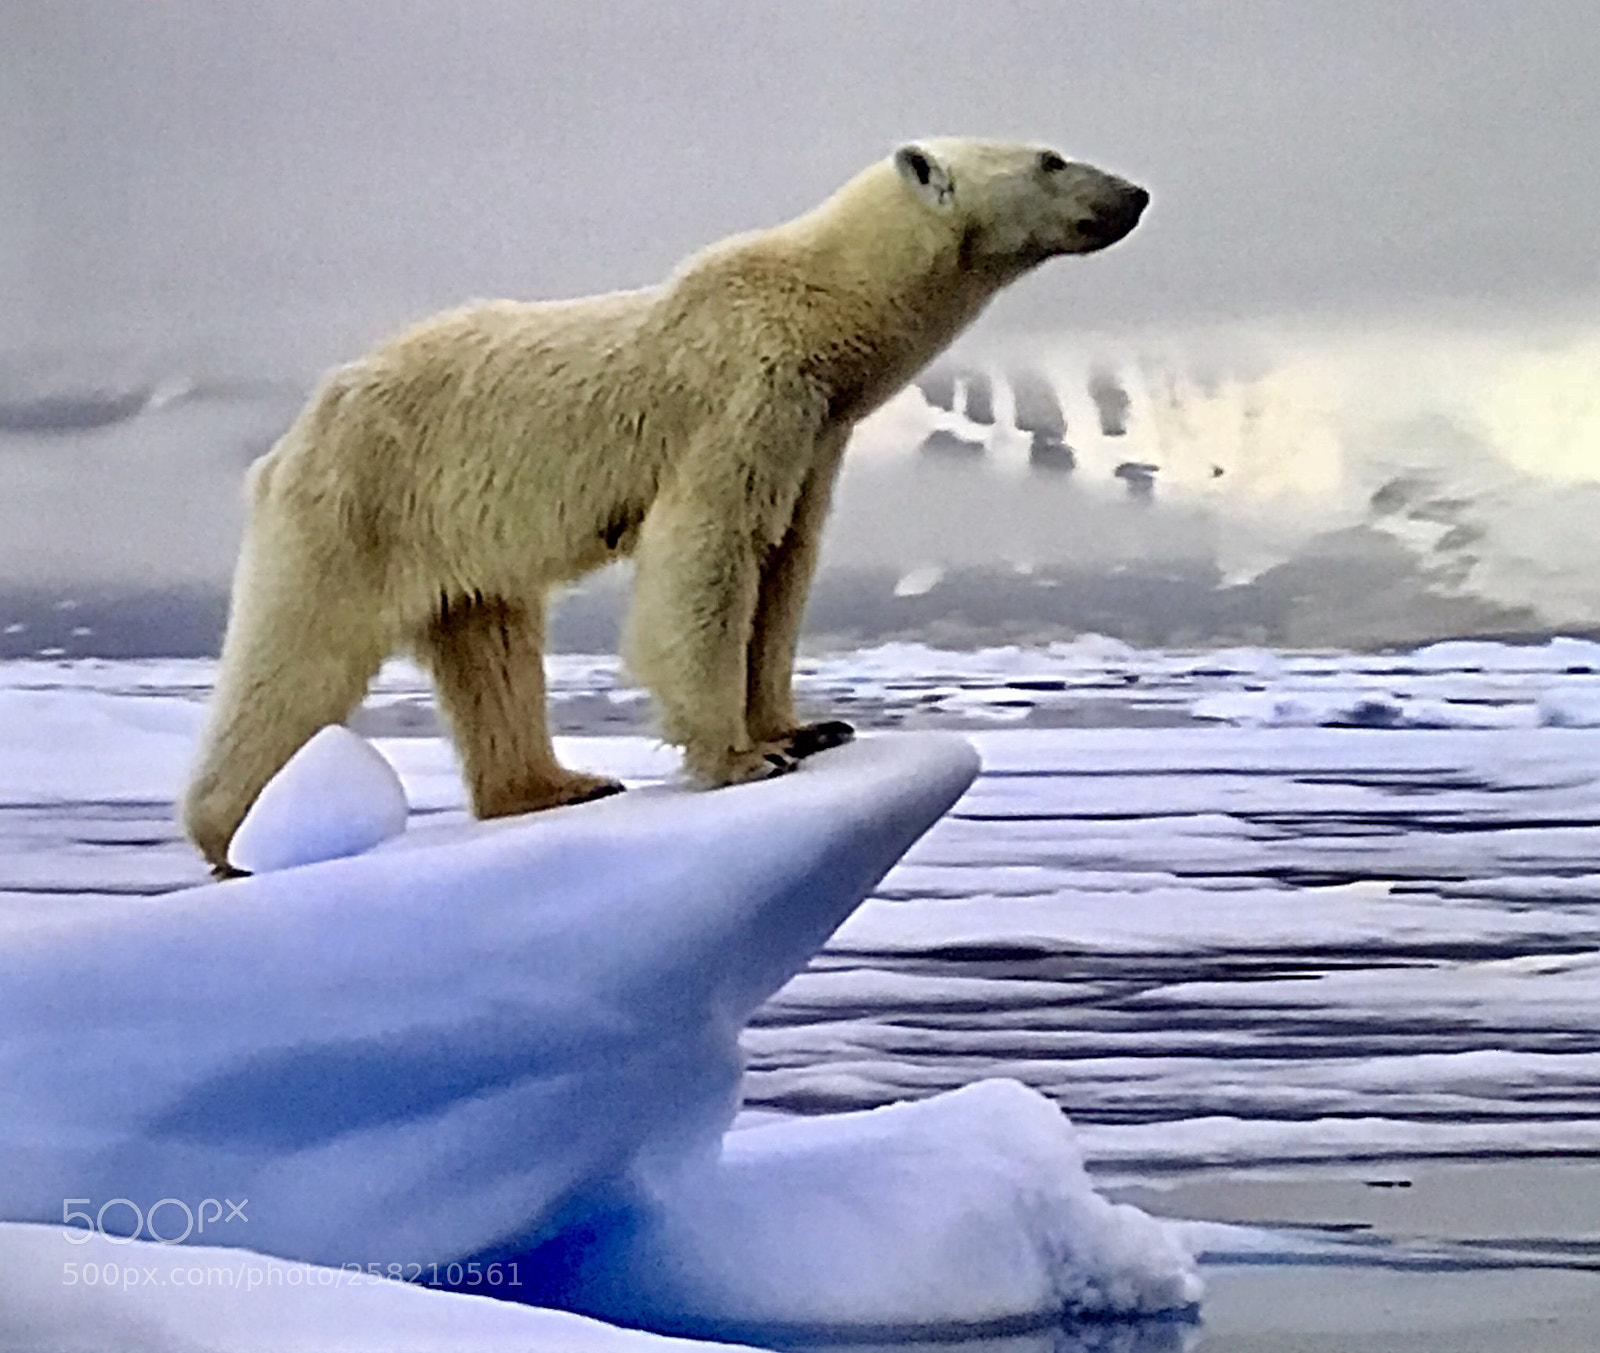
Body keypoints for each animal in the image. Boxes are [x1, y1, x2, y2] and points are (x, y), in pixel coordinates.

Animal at [183, 139, 1147, 872]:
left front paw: (809, 726)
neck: (819, 313)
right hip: (359, 504)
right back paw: (237, 833)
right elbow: (710, 557)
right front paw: (745, 756)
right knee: (299, 656)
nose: (1136, 192)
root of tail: (290, 436)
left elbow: (785, 566)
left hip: (458, 539)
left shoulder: (812, 435)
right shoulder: (743, 398)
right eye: (1051, 158)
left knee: (492, 652)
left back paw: (555, 783)